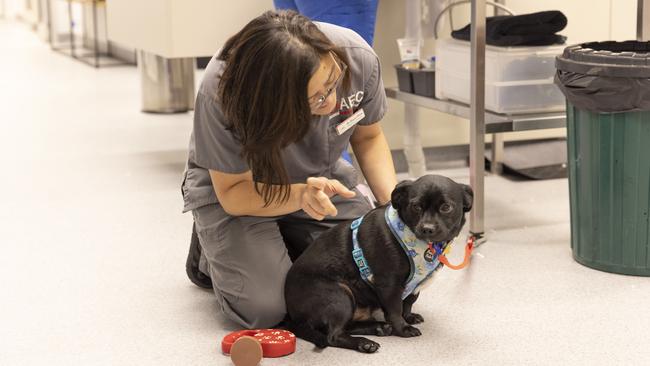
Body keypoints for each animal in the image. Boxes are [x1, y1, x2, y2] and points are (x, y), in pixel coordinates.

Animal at [284, 176, 470, 354]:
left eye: (446, 207)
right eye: (416, 206)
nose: (428, 228)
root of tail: (292, 316)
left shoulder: (414, 286)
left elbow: (408, 302)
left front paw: (409, 317)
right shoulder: (389, 285)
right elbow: (395, 310)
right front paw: (403, 328)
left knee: (346, 327)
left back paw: (378, 328)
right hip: (340, 294)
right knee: (333, 336)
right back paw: (365, 343)